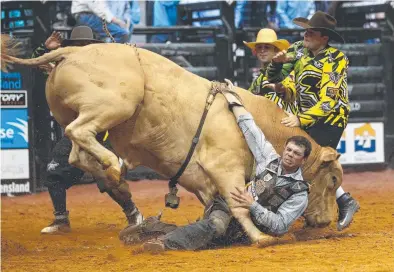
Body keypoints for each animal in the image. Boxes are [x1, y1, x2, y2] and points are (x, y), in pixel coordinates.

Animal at [1, 39, 342, 245]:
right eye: (333, 180)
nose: (326, 221)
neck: (259, 120)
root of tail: (72, 52)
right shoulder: (226, 168)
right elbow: (239, 205)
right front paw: (261, 238)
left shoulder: (205, 181)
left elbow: (215, 205)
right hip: (115, 104)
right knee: (78, 132)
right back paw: (113, 166)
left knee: (76, 153)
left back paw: (116, 178)